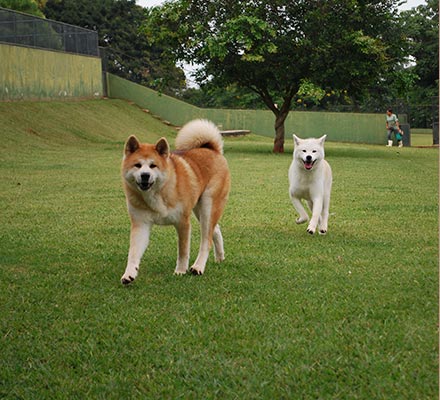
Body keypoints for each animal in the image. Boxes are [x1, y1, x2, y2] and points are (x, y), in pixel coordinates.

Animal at [120, 119, 230, 284]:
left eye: (153, 165)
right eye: (137, 165)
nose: (145, 175)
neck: (158, 193)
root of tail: (213, 150)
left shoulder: (182, 222)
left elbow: (183, 251)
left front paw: (180, 271)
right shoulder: (140, 224)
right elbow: (133, 253)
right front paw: (129, 274)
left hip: (208, 206)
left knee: (206, 240)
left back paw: (198, 267)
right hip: (200, 210)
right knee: (214, 230)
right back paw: (220, 256)